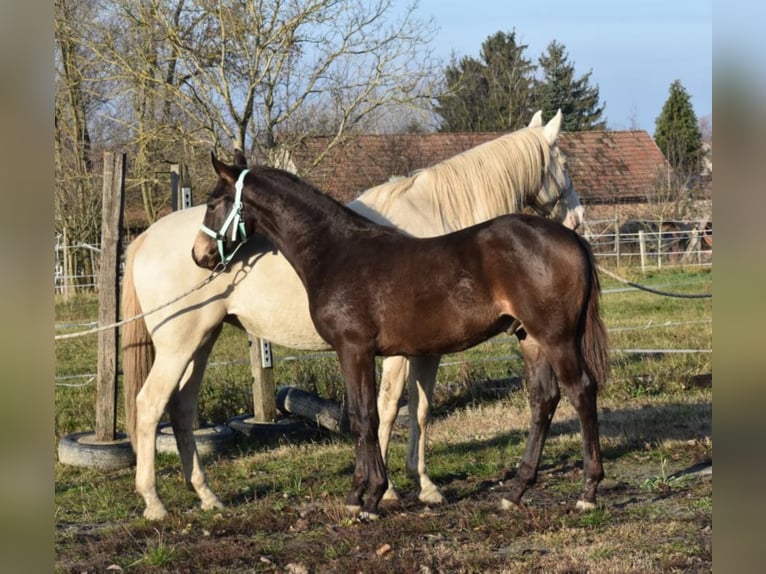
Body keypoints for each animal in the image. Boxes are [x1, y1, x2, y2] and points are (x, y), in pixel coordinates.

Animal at [124, 109, 584, 520]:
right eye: (563, 162)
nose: (579, 219)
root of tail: (144, 239)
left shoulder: (424, 348)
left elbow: (419, 410)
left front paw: (423, 486)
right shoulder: (397, 352)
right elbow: (387, 407)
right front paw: (391, 490)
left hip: (202, 340)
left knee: (181, 408)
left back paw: (207, 496)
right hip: (180, 343)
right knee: (148, 405)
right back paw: (153, 502)